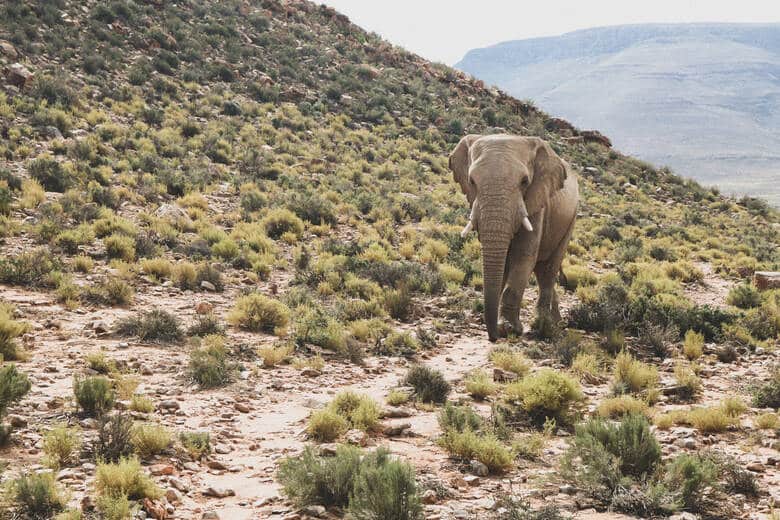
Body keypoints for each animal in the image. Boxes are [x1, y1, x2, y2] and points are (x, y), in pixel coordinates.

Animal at [450, 135, 580, 342]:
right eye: (471, 181)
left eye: (524, 181)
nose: (492, 337)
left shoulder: (537, 200)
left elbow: (522, 256)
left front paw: (508, 329)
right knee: (541, 270)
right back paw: (555, 322)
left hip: (571, 218)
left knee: (548, 270)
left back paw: (543, 325)